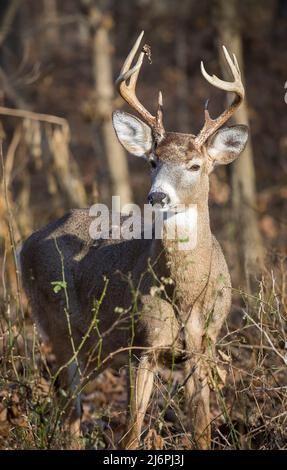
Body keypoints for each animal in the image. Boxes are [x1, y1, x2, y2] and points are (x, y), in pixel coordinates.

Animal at [20, 31, 250, 450]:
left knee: (73, 410)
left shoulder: (203, 344)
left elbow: (203, 429)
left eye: (195, 165)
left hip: (94, 347)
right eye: (152, 161)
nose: (157, 196)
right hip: (56, 325)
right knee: (69, 409)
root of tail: (25, 242)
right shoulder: (142, 344)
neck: (185, 294)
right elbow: (130, 431)